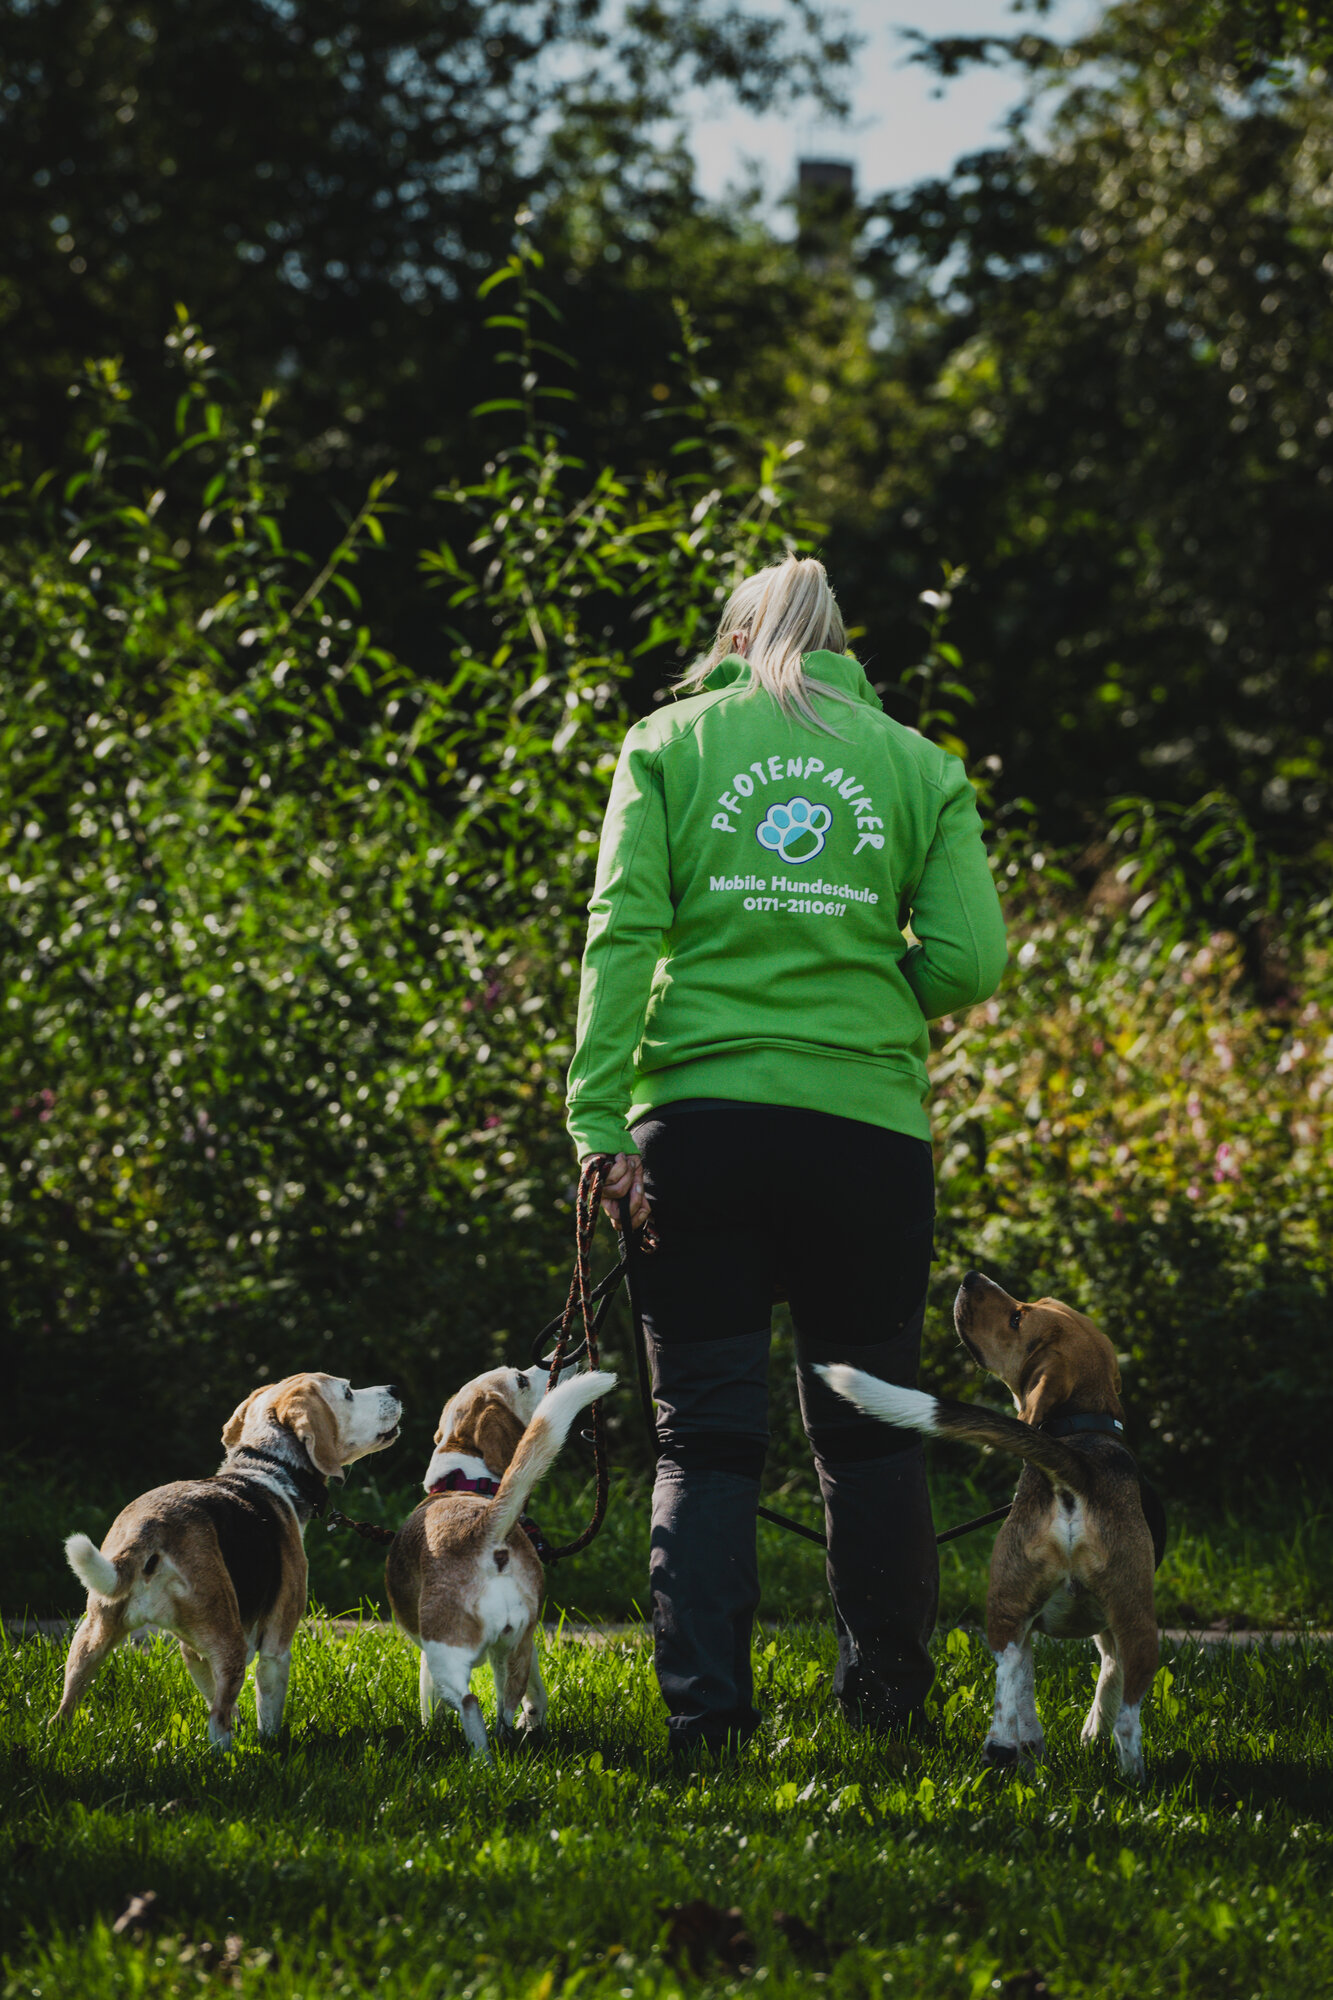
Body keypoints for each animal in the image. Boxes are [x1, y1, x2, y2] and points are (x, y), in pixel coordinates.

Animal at [57, 1376, 400, 1752]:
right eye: (348, 1392)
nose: (394, 1390)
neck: (268, 1466)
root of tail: (150, 1526)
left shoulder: (194, 1653)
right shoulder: (276, 1647)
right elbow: (268, 1709)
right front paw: (271, 1745)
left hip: (91, 1638)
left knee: (64, 1709)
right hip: (230, 1641)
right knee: (217, 1722)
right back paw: (229, 1758)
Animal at [384, 1368, 612, 1760]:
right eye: (521, 1379)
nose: (560, 1363)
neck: (464, 1478)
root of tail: (484, 1528)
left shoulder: (426, 1660)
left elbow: (430, 1708)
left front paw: (430, 1732)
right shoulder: (527, 1646)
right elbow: (537, 1693)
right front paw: (533, 1721)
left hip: (444, 1652)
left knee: (469, 1701)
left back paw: (481, 1762)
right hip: (513, 1649)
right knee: (507, 1707)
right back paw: (510, 1745)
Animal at [816, 1272, 1160, 1776]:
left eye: (1018, 1317)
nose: (969, 1277)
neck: (1083, 1433)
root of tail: (1075, 1472)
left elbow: (1028, 1690)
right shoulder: (1110, 1636)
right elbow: (1106, 1691)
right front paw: (1089, 1736)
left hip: (1005, 1605)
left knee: (1008, 1680)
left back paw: (1004, 1749)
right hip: (1139, 1629)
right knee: (1128, 1723)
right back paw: (1133, 1777)